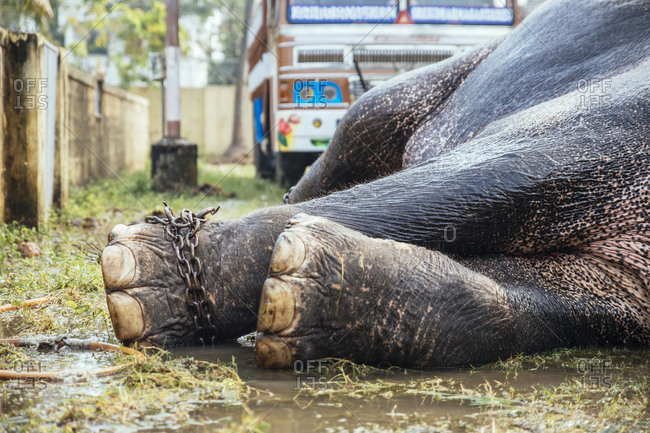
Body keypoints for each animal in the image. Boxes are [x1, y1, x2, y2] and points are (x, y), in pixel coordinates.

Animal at [101, 0, 650, 368]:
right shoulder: (595, 123)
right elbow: (494, 173)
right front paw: (133, 268)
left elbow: (519, 311)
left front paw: (299, 284)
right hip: (398, 97)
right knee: (356, 130)